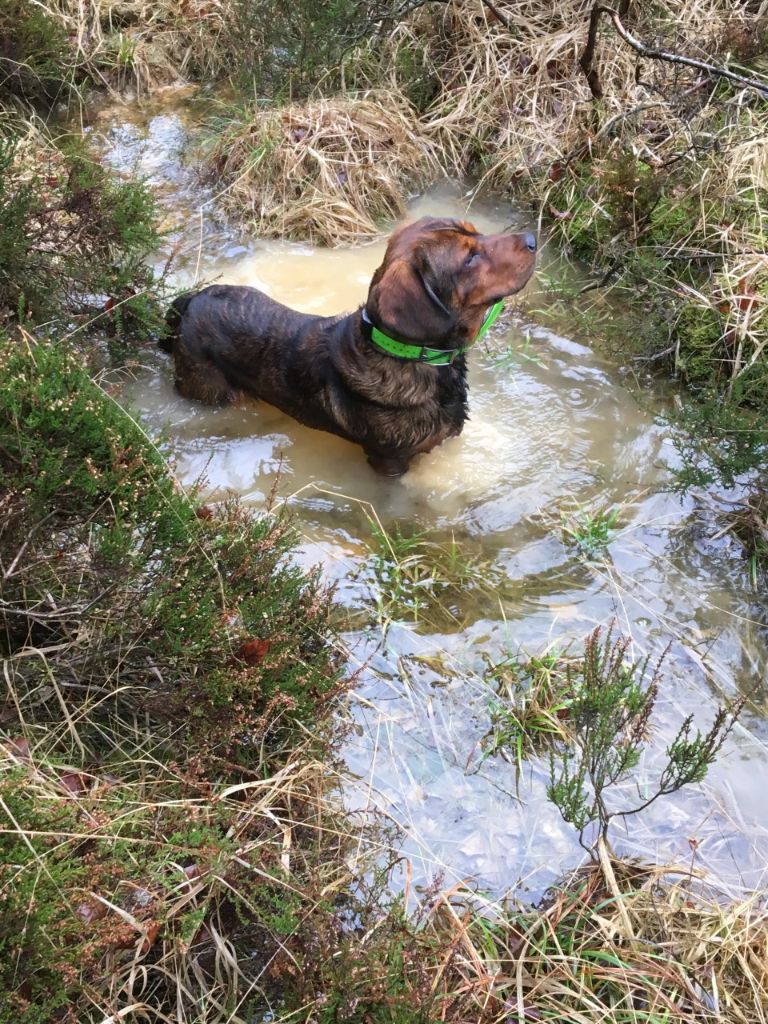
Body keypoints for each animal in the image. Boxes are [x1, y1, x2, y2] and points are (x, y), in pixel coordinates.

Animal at [161, 220, 536, 475]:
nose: (533, 239)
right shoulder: (390, 462)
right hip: (210, 392)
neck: (406, 355)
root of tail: (190, 301)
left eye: (476, 231)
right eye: (470, 258)